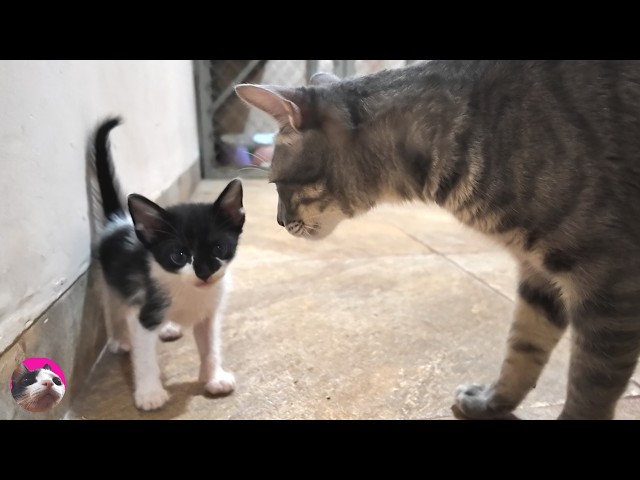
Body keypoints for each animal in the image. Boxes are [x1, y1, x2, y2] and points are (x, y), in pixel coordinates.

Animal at [93, 118, 245, 410]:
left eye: (219, 248)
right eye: (179, 256)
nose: (204, 272)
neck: (188, 291)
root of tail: (119, 219)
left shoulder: (209, 314)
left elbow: (210, 346)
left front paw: (213, 378)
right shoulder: (146, 312)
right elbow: (145, 357)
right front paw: (149, 394)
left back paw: (169, 328)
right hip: (110, 280)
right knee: (114, 306)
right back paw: (120, 339)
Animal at [238, 61, 640, 420]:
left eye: (276, 183)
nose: (278, 221)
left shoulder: (608, 280)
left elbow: (590, 388)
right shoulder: (538, 275)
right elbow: (523, 349)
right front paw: (491, 402)